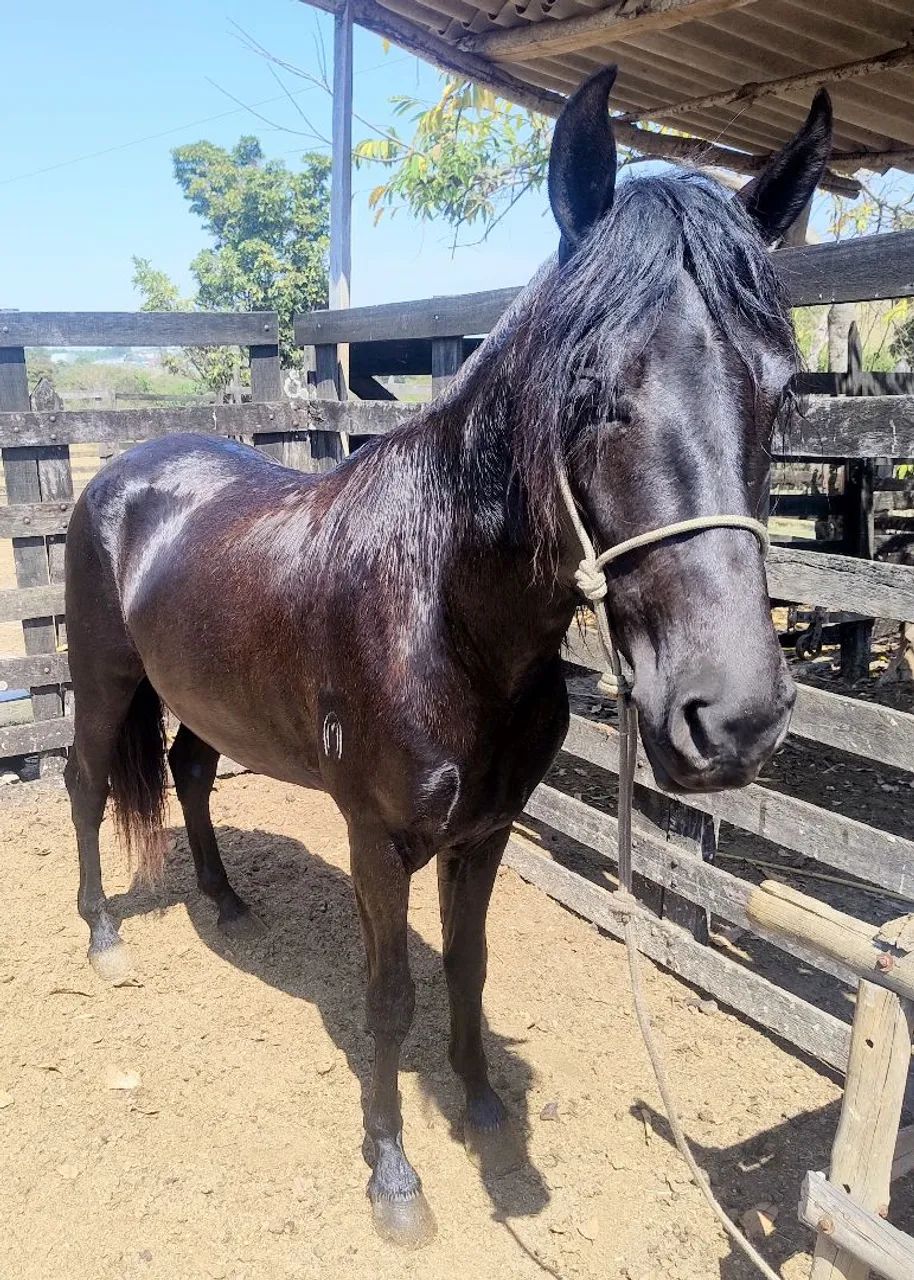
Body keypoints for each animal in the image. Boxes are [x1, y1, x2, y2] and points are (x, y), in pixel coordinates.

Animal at [63, 67, 832, 1247]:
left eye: (783, 388)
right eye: (592, 388)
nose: (732, 716)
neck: (443, 619)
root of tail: (123, 466)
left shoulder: (485, 832)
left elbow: (468, 967)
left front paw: (482, 1107)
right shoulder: (377, 839)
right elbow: (389, 998)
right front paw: (394, 1177)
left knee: (189, 770)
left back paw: (225, 901)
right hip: (105, 682)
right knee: (88, 780)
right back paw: (105, 936)